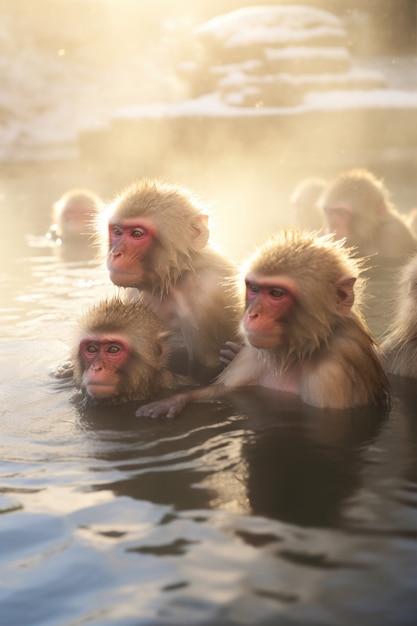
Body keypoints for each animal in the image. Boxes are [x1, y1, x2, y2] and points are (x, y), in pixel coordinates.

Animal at [135, 228, 388, 414]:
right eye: (254, 289)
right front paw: (177, 400)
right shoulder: (255, 350)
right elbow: (223, 389)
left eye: (276, 293)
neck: (300, 351)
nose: (252, 314)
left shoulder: (333, 374)